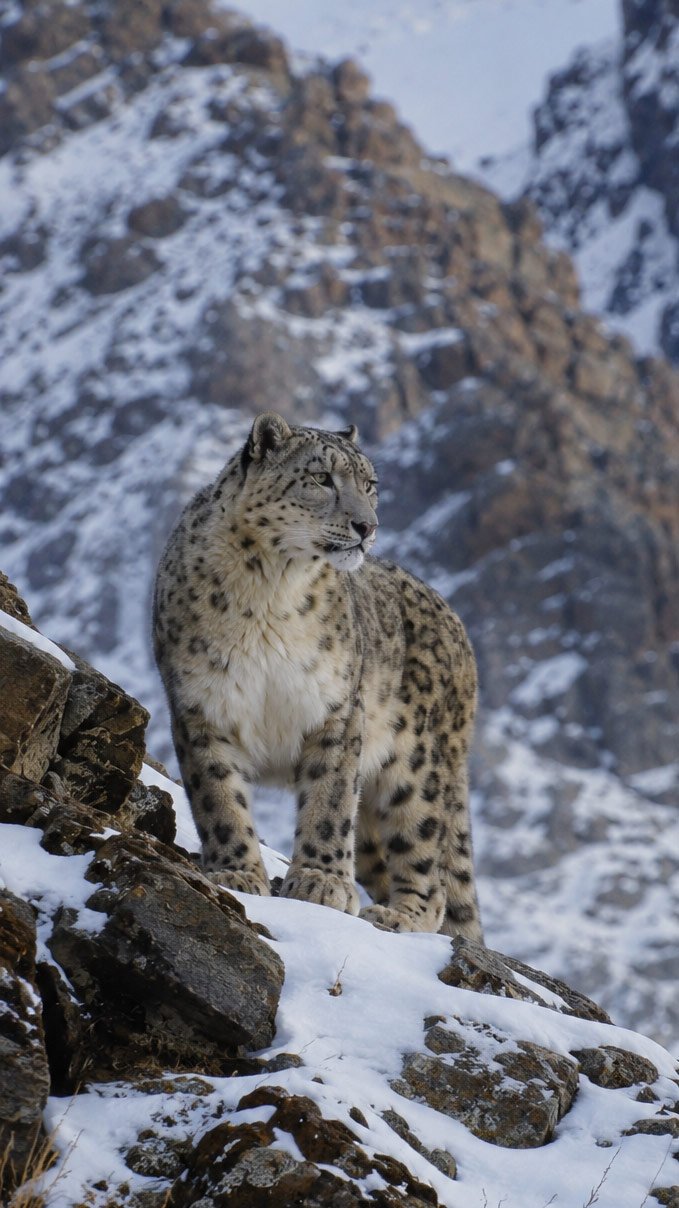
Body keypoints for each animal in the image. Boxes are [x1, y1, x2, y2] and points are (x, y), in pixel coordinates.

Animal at [153, 411, 482, 939]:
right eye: (321, 478)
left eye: (370, 485)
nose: (367, 525)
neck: (268, 593)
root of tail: (457, 626)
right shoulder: (201, 706)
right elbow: (218, 795)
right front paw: (237, 870)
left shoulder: (337, 708)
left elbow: (329, 799)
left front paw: (320, 881)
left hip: (420, 766)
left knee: (428, 858)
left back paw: (399, 915)